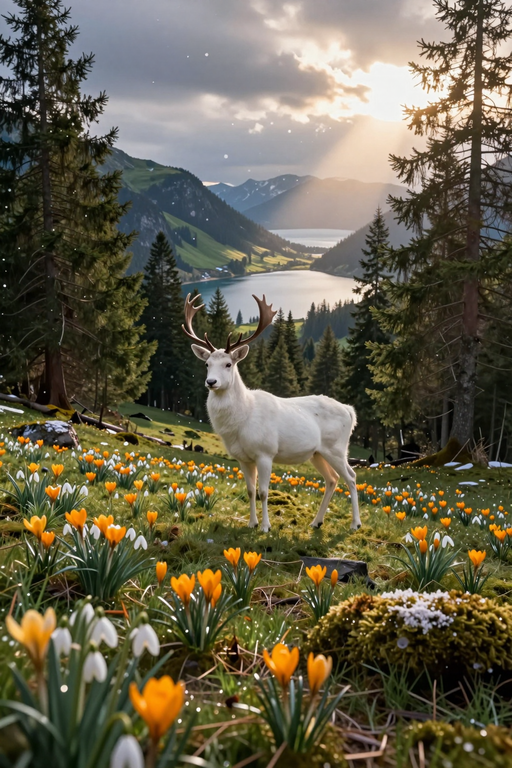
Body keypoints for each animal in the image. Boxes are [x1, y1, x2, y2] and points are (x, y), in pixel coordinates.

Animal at [182, 293, 361, 533]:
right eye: (207, 364)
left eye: (228, 364)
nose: (211, 382)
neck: (241, 422)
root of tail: (350, 412)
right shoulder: (243, 458)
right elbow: (250, 491)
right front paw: (251, 523)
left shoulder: (265, 452)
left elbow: (264, 492)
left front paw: (266, 526)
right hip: (317, 453)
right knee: (332, 479)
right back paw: (316, 521)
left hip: (337, 447)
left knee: (351, 476)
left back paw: (355, 523)